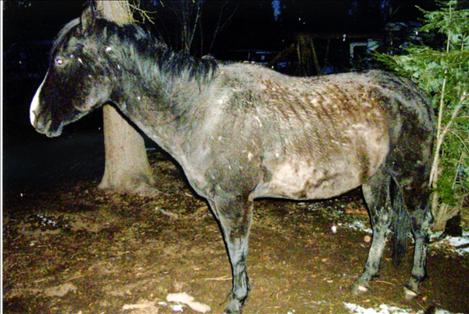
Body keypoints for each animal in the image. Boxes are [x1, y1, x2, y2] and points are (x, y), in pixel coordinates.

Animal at [28, 6, 432, 312]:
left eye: (61, 59)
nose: (35, 117)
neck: (201, 110)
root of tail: (415, 93)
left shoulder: (233, 201)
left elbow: (236, 250)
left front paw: (236, 299)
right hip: (375, 177)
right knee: (382, 221)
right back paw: (365, 279)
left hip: (411, 175)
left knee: (420, 223)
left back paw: (414, 281)